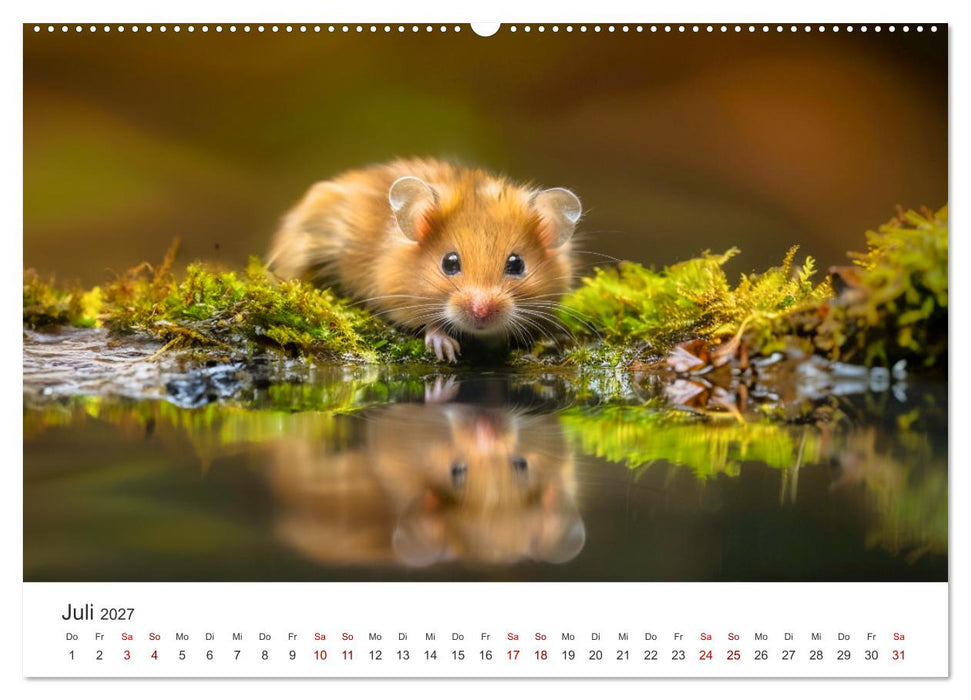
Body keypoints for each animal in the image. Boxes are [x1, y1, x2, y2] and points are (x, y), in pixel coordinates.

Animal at [267, 159, 582, 362]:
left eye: (517, 265)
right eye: (449, 263)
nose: (482, 314)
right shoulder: (395, 296)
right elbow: (426, 322)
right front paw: (446, 349)